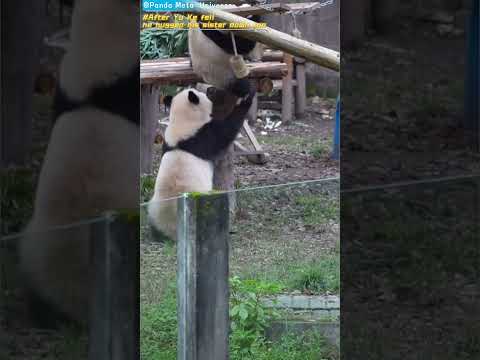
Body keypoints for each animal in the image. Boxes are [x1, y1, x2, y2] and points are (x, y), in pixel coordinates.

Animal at [149, 79, 255, 242]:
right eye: (207, 95)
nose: (210, 89)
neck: (182, 123)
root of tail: (173, 230)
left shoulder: (167, 142)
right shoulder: (203, 136)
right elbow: (226, 130)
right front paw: (246, 97)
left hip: (154, 208)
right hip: (204, 206)